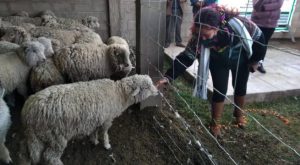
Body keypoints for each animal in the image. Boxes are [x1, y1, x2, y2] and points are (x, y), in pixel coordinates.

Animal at [21, 74, 159, 165]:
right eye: (147, 87)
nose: (158, 92)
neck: (119, 94)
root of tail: (28, 111)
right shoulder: (107, 119)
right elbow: (105, 133)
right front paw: (106, 145)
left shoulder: (96, 119)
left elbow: (95, 131)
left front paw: (94, 140)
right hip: (56, 137)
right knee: (50, 156)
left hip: (38, 136)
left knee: (30, 154)